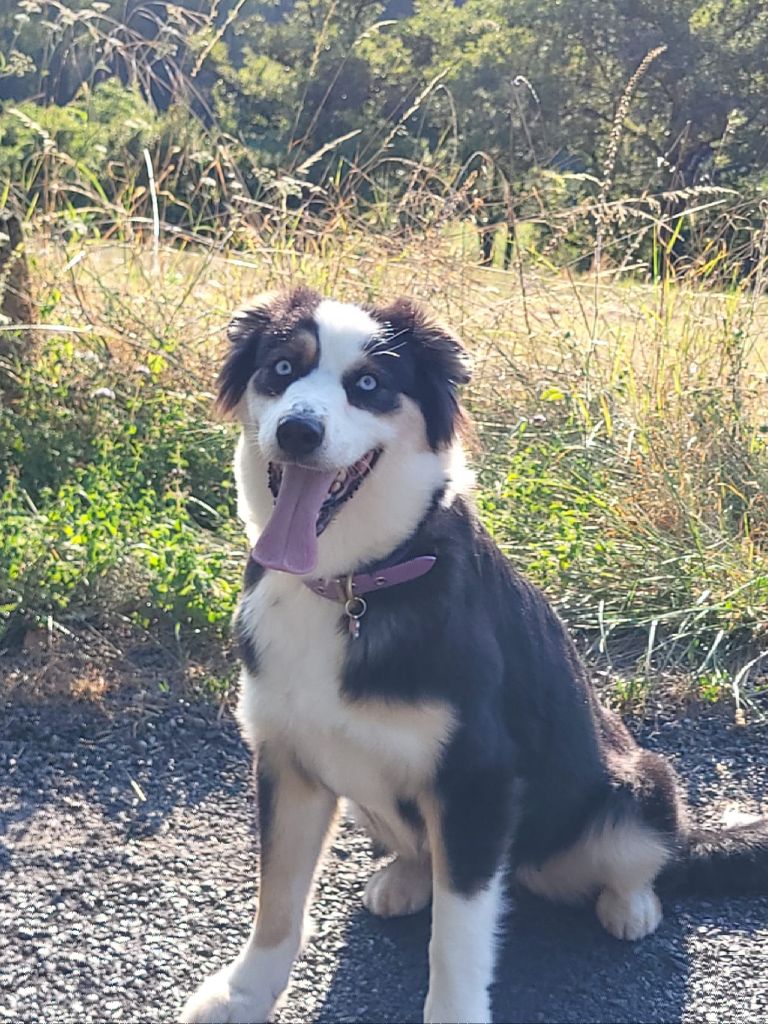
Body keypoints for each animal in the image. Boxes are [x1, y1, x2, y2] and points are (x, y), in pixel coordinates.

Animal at [182, 286, 768, 1024]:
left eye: (369, 386)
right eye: (283, 369)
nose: (297, 432)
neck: (354, 585)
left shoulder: (476, 781)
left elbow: (456, 938)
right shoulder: (286, 759)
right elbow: (277, 900)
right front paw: (243, 993)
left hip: (639, 787)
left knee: (651, 858)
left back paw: (630, 905)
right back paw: (403, 878)